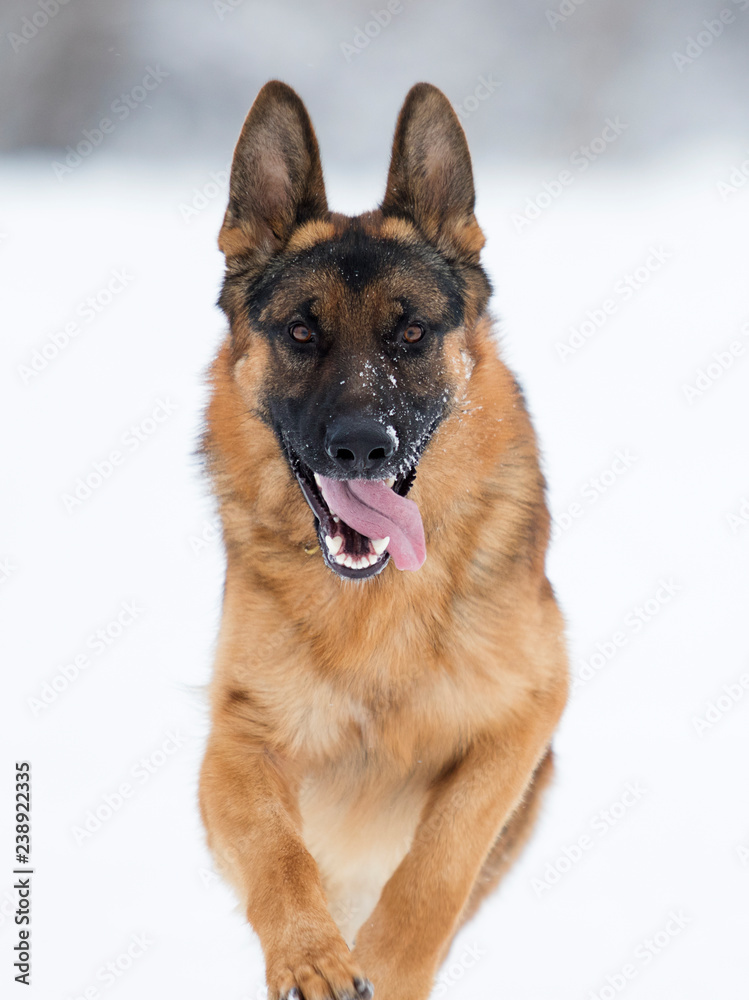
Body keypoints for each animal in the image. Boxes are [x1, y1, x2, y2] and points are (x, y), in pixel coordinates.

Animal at [199, 80, 568, 1000]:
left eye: (409, 334)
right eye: (302, 332)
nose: (362, 447)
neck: (376, 609)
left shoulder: (523, 718)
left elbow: (440, 859)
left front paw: (386, 962)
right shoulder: (237, 743)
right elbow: (277, 855)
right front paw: (311, 956)